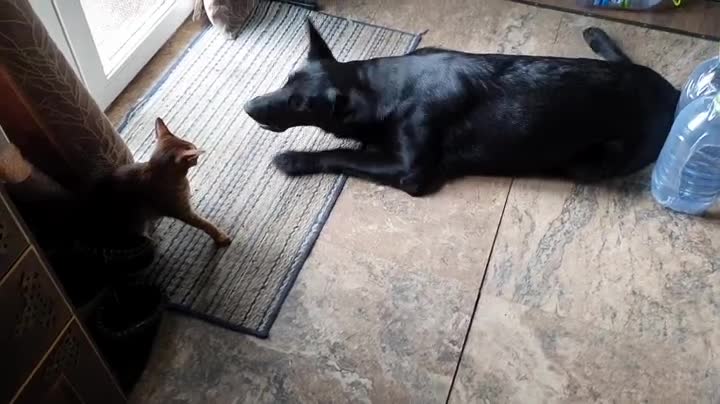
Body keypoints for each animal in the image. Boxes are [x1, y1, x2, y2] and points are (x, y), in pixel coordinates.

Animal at [245, 21, 676, 196]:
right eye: (287, 79)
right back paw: (597, 35)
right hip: (625, 72)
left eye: (300, 104)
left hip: (594, 159)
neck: (381, 86)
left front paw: (295, 159)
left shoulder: (411, 173)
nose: (249, 106)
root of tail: (673, 98)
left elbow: (341, 154)